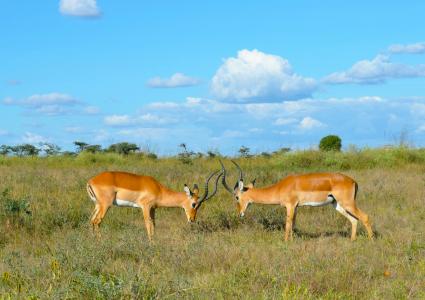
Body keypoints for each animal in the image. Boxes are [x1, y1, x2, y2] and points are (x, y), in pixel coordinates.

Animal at [84, 170, 220, 240]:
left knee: (91, 220)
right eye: (193, 204)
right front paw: (151, 244)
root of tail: (91, 181)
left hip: (97, 205)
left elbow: (154, 224)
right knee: (97, 221)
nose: (192, 219)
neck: (159, 189)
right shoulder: (145, 207)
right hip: (105, 205)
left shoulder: (153, 209)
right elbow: (148, 224)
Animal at [220, 159, 372, 241]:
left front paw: (285, 242)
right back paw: (352, 240)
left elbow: (287, 224)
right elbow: (293, 224)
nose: (240, 213)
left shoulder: (290, 206)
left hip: (348, 203)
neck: (280, 187)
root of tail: (353, 181)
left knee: (364, 216)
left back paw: (371, 241)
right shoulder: (296, 207)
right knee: (354, 220)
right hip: (338, 205)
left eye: (236, 197)